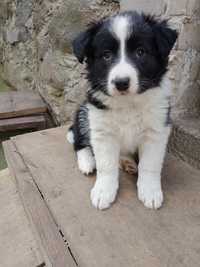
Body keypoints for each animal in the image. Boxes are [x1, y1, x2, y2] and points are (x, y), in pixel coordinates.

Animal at [67, 10, 178, 210]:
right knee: (79, 142)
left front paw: (150, 191)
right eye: (106, 55)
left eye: (141, 52)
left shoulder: (156, 131)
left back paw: (128, 163)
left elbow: (150, 165)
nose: (121, 83)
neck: (128, 103)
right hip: (83, 113)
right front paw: (103, 191)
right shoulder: (102, 130)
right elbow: (106, 166)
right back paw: (87, 162)